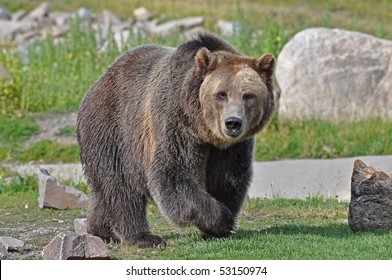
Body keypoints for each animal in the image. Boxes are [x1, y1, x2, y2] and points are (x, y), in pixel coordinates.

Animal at [76, 32, 276, 247]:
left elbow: (228, 176)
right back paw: (142, 236)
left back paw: (101, 231)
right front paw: (221, 219)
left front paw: (217, 225)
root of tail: (97, 83)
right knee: (121, 186)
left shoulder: (231, 148)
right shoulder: (177, 121)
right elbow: (173, 173)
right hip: (113, 130)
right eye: (221, 94)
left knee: (103, 191)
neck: (204, 130)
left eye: (248, 96)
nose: (233, 123)